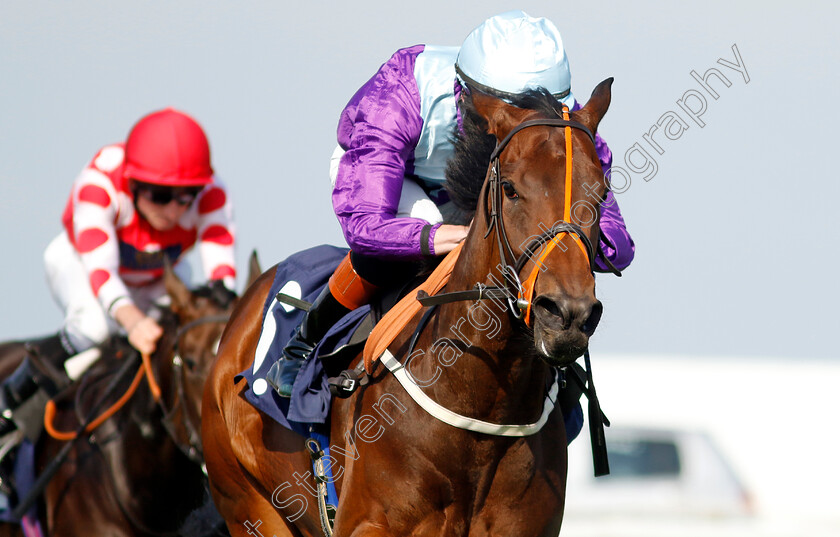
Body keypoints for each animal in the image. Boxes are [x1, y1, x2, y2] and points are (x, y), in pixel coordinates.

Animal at [200, 80, 612, 536]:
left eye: (603, 193)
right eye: (510, 189)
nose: (567, 313)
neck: (480, 408)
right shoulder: (368, 523)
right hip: (248, 503)